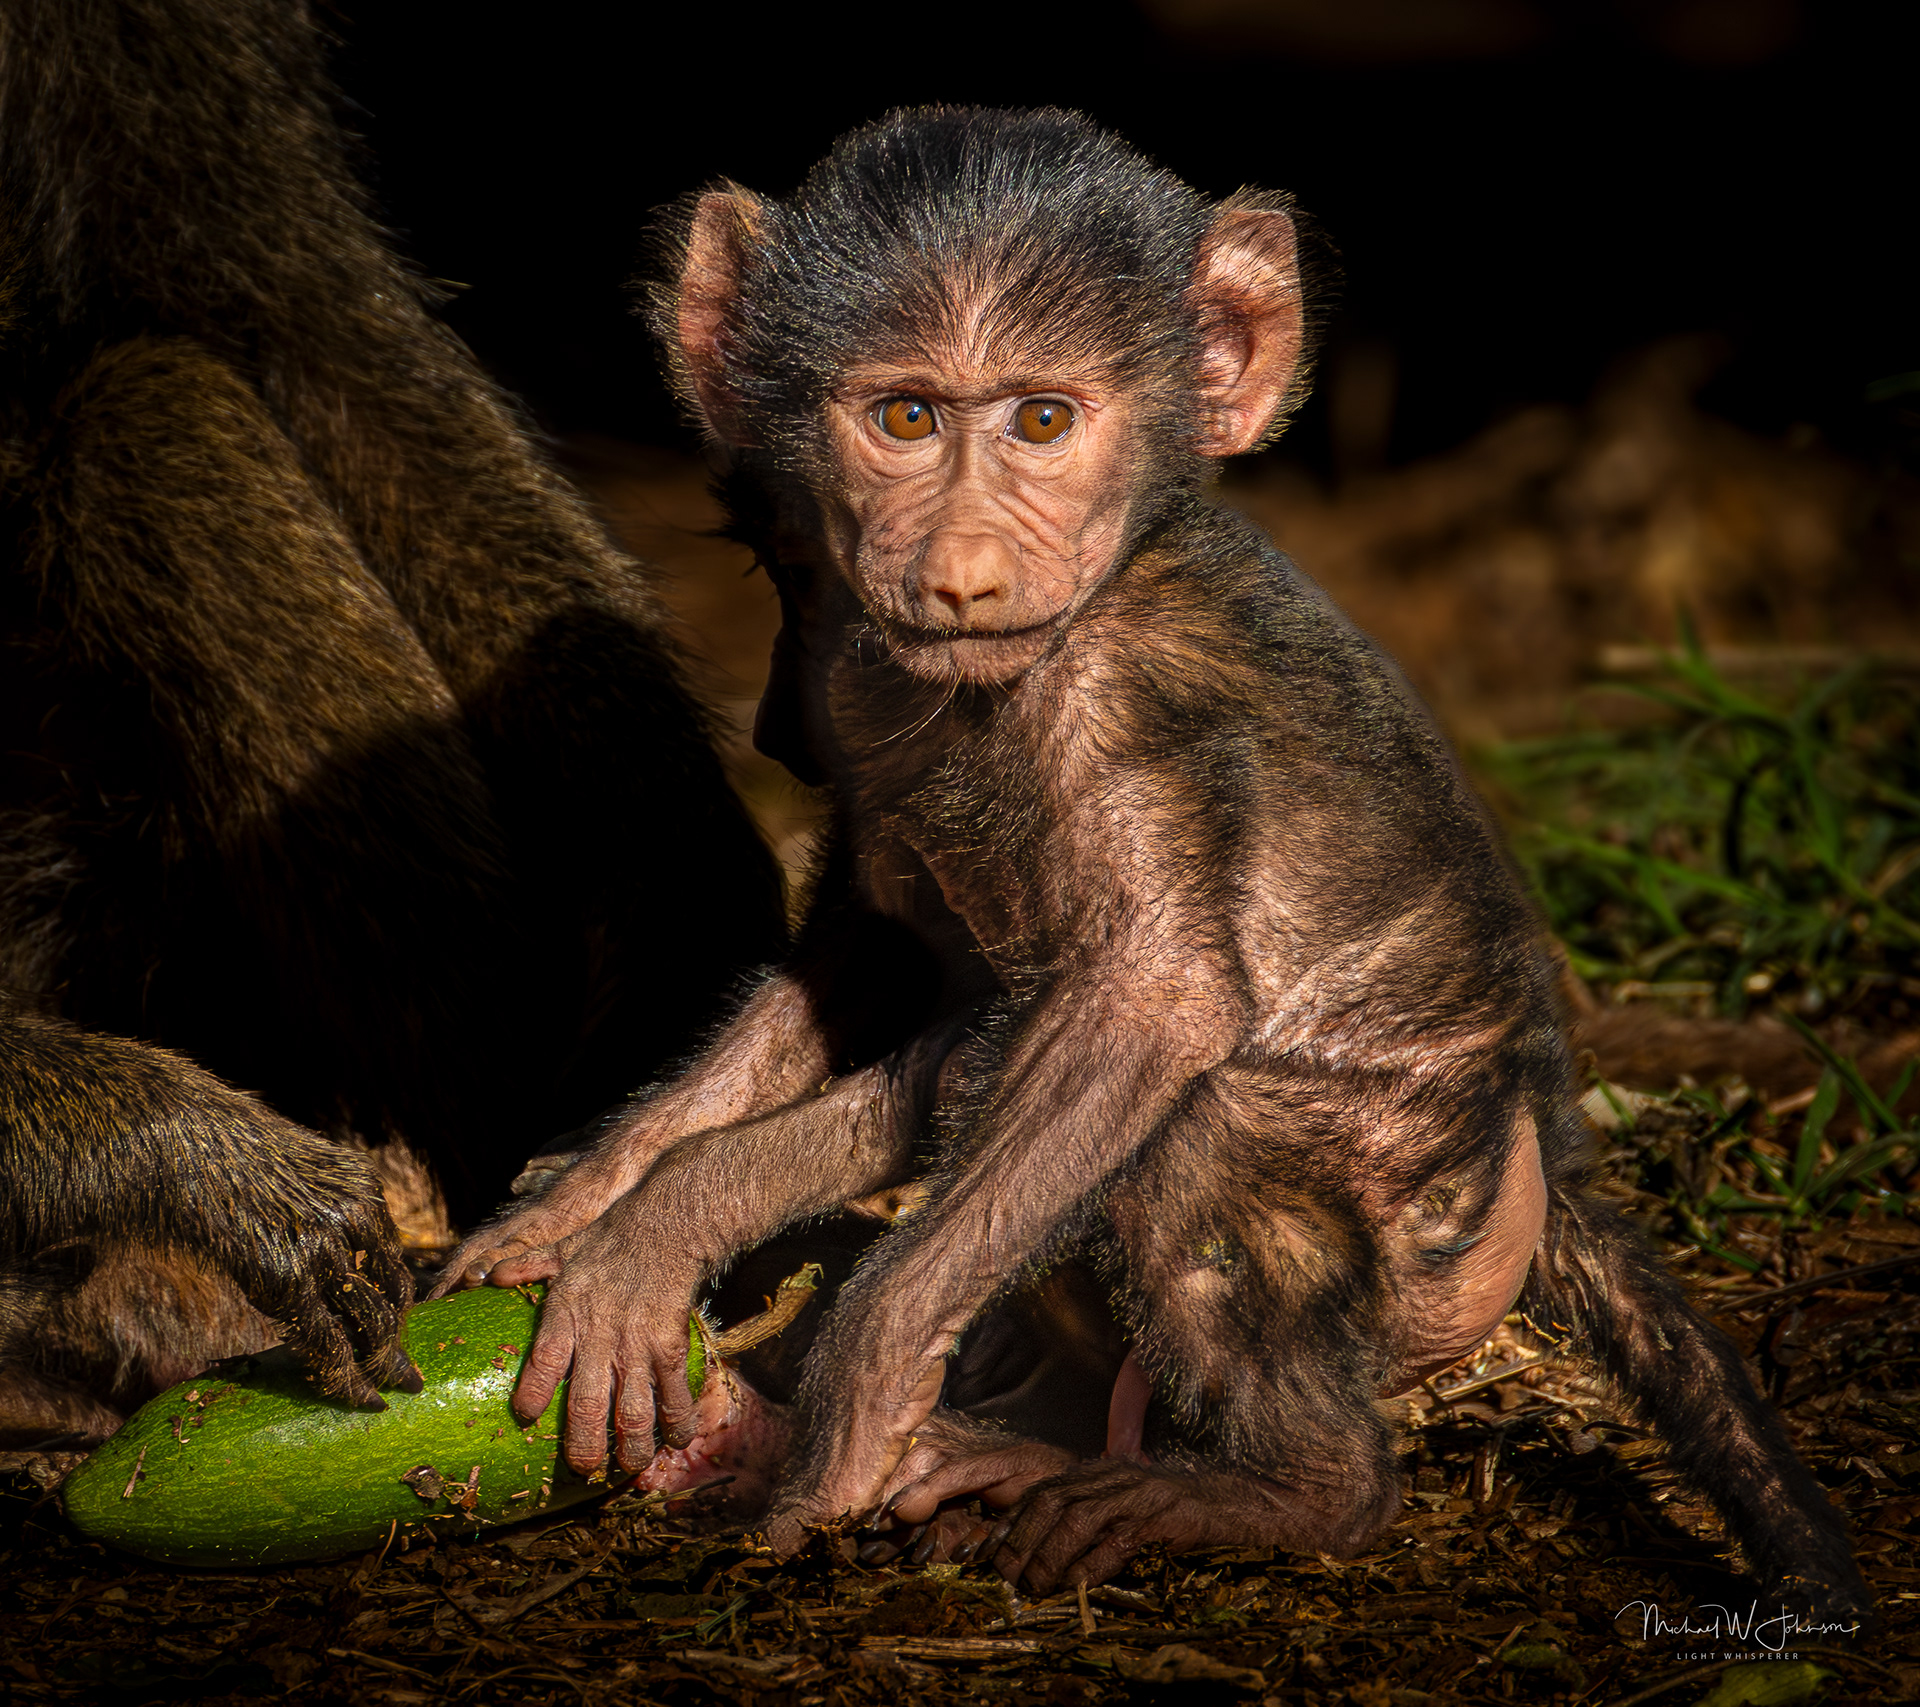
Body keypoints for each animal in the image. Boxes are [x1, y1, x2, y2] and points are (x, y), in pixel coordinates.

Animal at [437, 108, 1869, 1616]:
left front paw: (831, 1374)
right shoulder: (867, 738)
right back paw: (1023, 1439)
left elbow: (1148, 1005)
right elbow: (866, 982)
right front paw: (603, 1204)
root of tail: (1545, 1134)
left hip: (1412, 1222)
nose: (958, 573)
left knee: (1182, 1127)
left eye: (1043, 420)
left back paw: (1278, 1490)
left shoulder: (1125, 709)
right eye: (904, 419)